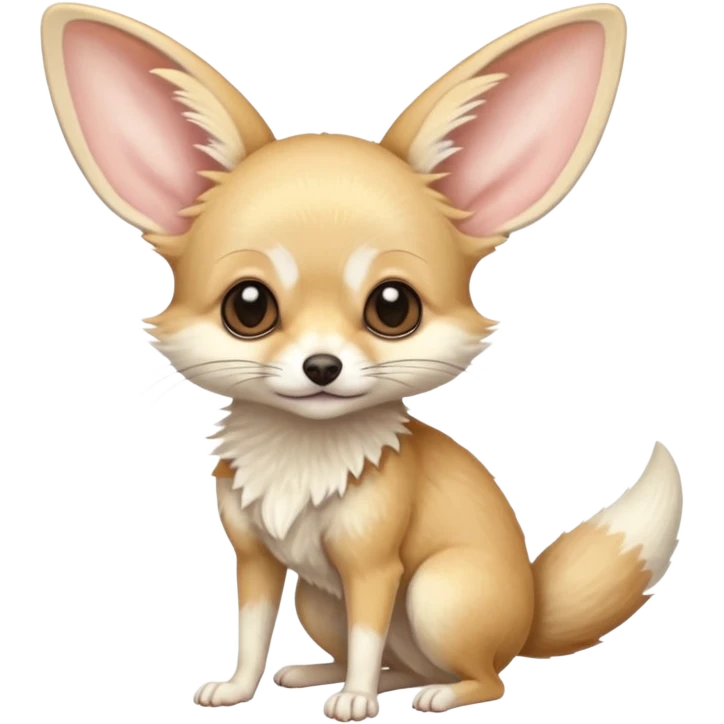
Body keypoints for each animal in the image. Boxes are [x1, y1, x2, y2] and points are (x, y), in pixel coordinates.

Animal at [40, 2, 684, 720]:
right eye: (248, 307)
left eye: (393, 308)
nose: (322, 366)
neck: (301, 455)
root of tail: (527, 617)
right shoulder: (255, 560)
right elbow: (251, 632)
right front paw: (238, 688)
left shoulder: (374, 567)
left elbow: (369, 633)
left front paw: (353, 701)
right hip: (319, 599)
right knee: (394, 661)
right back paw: (321, 671)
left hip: (437, 591)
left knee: (486, 677)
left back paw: (431, 692)